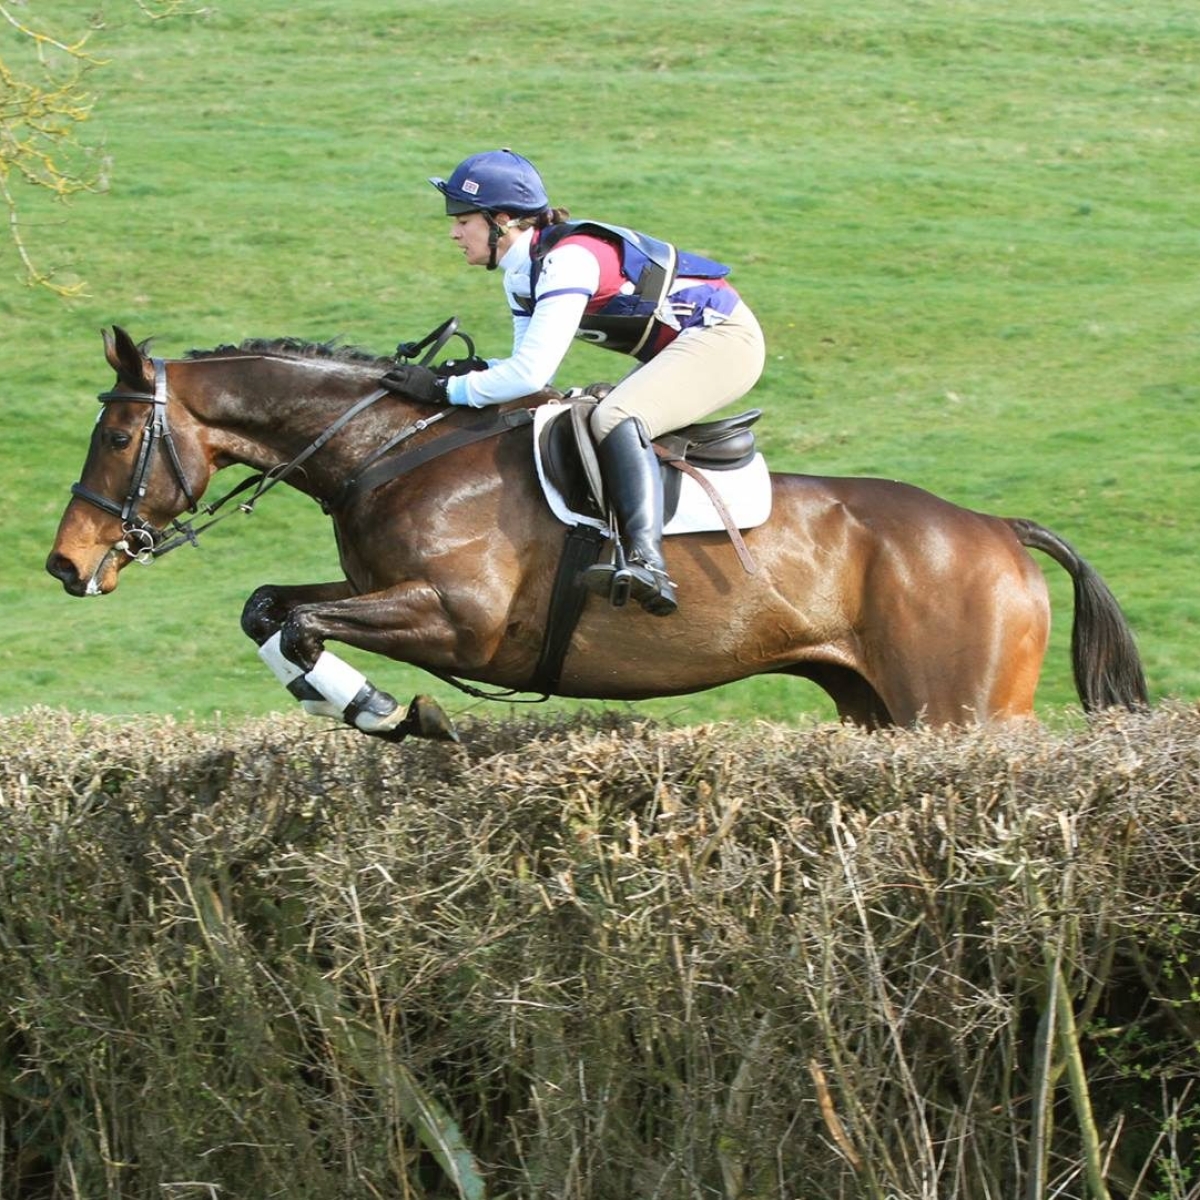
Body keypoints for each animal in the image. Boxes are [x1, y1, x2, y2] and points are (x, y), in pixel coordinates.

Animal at [46, 325, 1148, 740]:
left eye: (117, 435)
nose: (65, 564)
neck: (389, 449)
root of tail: (997, 529)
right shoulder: (386, 595)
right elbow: (272, 608)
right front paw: (377, 711)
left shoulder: (458, 619)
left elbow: (302, 624)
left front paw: (397, 714)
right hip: (876, 707)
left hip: (966, 711)